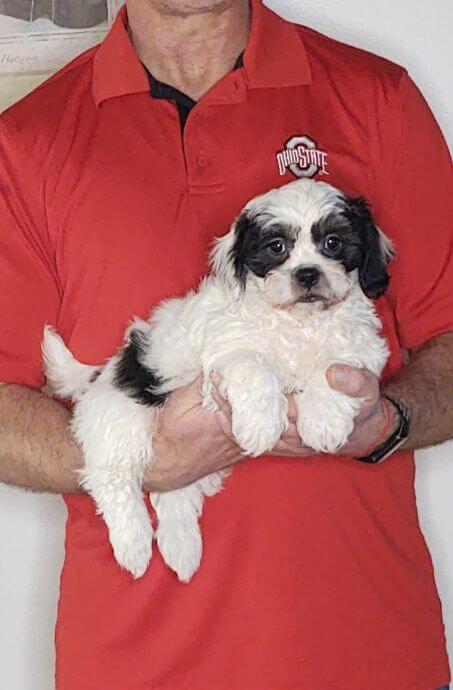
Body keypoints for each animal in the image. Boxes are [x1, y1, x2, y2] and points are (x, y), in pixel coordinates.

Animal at [42, 177, 392, 580]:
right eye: (276, 247)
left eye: (333, 242)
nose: (307, 273)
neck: (299, 321)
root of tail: (105, 373)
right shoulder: (227, 352)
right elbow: (255, 371)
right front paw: (261, 426)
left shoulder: (360, 348)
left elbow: (334, 370)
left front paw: (324, 423)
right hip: (121, 420)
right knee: (112, 477)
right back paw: (135, 545)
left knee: (172, 493)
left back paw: (181, 548)